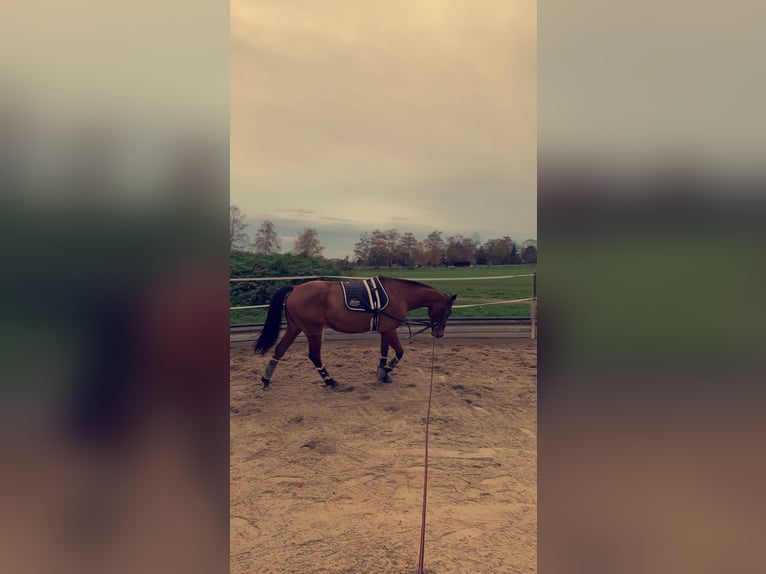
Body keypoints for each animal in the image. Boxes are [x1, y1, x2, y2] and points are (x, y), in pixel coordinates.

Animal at [253, 276, 457, 389]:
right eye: (446, 311)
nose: (439, 333)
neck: (398, 294)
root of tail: (295, 289)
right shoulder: (390, 330)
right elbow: (399, 352)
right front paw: (385, 372)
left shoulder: (385, 330)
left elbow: (384, 353)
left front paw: (382, 374)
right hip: (313, 331)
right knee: (314, 355)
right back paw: (330, 381)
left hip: (295, 328)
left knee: (280, 350)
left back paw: (266, 380)